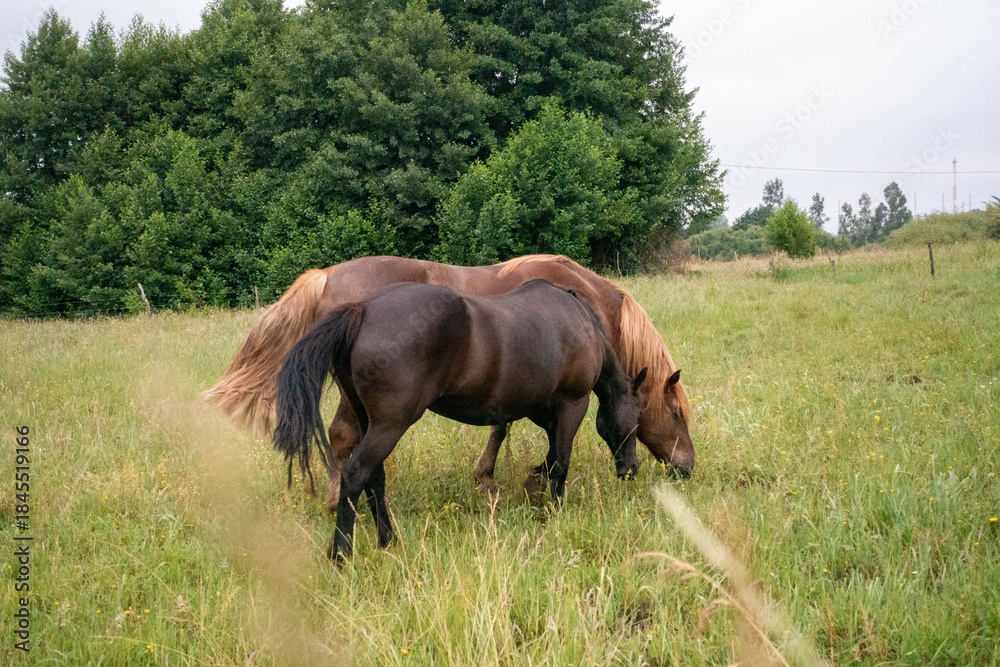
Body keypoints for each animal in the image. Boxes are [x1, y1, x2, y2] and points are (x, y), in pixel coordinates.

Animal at [203, 254, 694, 507]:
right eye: (675, 412)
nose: (686, 466)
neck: (579, 301)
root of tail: (326, 277)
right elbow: (510, 431)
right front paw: (494, 479)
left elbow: (507, 425)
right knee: (343, 438)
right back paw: (337, 498)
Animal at [272, 280, 647, 560]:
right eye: (638, 418)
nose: (631, 469)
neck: (582, 324)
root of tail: (363, 309)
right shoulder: (572, 406)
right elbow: (559, 464)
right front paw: (554, 511)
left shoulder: (538, 409)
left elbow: (543, 454)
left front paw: (529, 485)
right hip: (390, 425)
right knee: (354, 473)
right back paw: (341, 554)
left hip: (370, 423)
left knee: (374, 479)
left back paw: (388, 542)